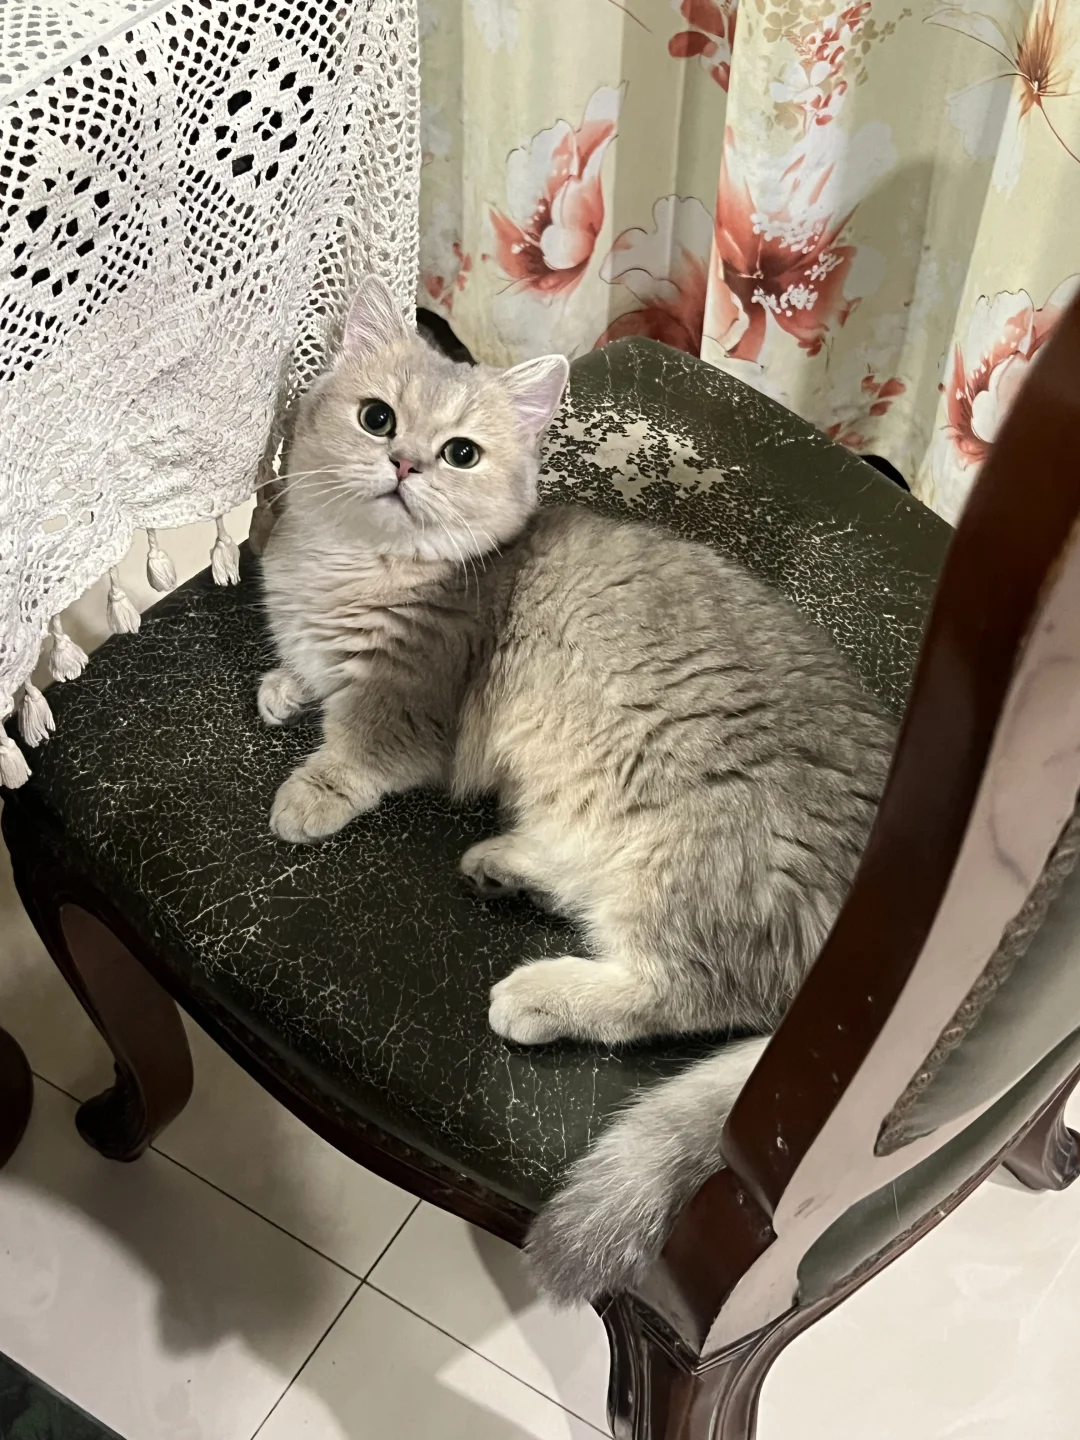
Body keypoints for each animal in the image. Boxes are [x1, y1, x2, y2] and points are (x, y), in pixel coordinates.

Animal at [259, 274, 896, 1303]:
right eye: (376, 416)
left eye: (461, 452)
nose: (403, 463)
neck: (352, 568)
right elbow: (306, 678)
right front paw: (284, 683)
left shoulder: (407, 710)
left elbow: (353, 744)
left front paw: (307, 791)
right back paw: (503, 867)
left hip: (686, 858)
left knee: (676, 993)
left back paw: (541, 993)